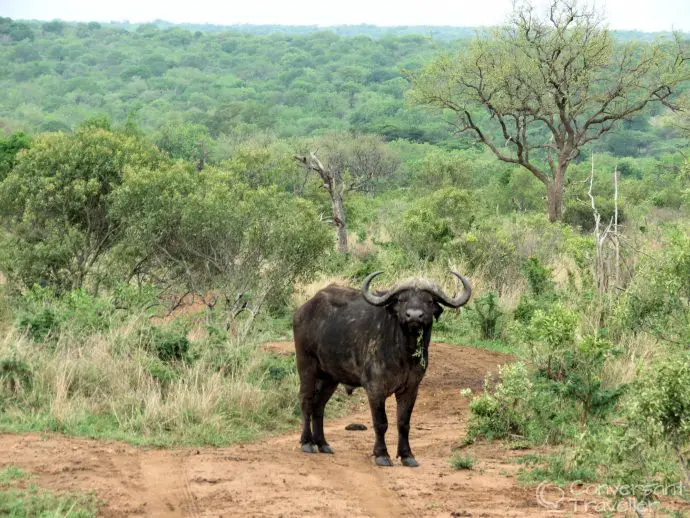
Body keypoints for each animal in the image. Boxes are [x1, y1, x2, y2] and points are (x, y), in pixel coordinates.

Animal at [290, 274, 468, 470]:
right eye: (402, 299)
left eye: (428, 300)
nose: (414, 315)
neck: (404, 353)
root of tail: (303, 310)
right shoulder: (375, 389)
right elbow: (381, 422)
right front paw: (382, 454)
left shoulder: (411, 389)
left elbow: (403, 423)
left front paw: (407, 455)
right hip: (306, 366)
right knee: (306, 400)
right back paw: (307, 442)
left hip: (330, 377)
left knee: (319, 406)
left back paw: (322, 444)